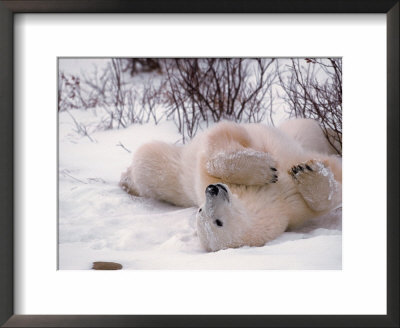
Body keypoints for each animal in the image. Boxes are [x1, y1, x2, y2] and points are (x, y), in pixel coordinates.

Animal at [119, 119, 340, 252]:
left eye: (200, 210)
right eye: (217, 221)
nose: (213, 189)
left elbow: (218, 142)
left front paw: (279, 169)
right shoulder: (289, 207)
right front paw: (307, 174)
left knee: (305, 127)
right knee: (149, 161)